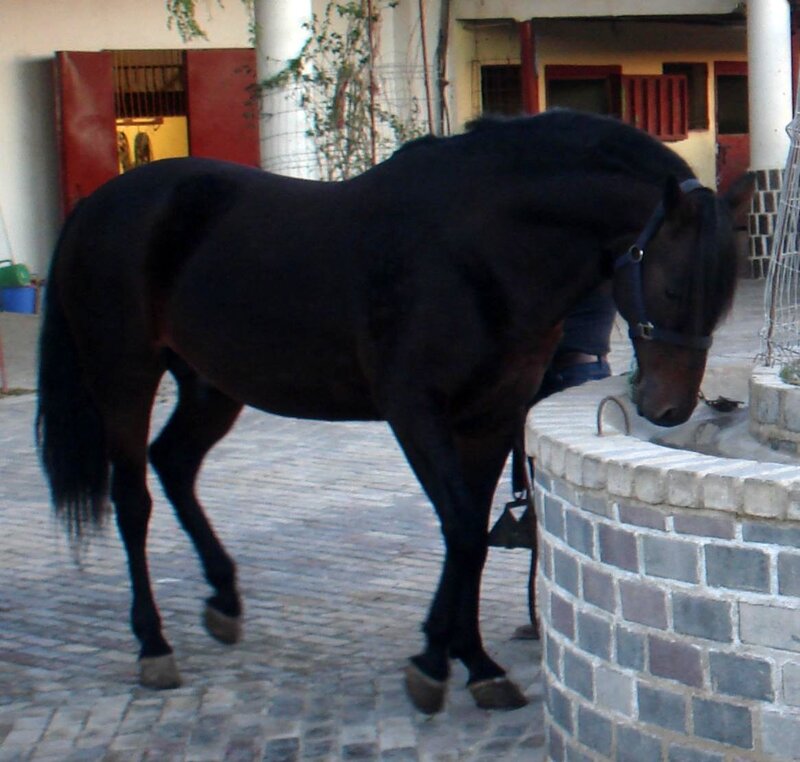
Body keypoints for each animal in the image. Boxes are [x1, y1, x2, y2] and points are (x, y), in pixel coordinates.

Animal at [36, 109, 753, 714]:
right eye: (672, 286)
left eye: (721, 296)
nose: (667, 407)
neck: (477, 250)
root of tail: (96, 205)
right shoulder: (416, 413)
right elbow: (462, 529)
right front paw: (437, 661)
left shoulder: (491, 415)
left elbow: (471, 537)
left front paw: (471, 661)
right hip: (124, 378)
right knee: (133, 499)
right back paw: (153, 644)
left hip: (211, 384)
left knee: (175, 464)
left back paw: (223, 599)